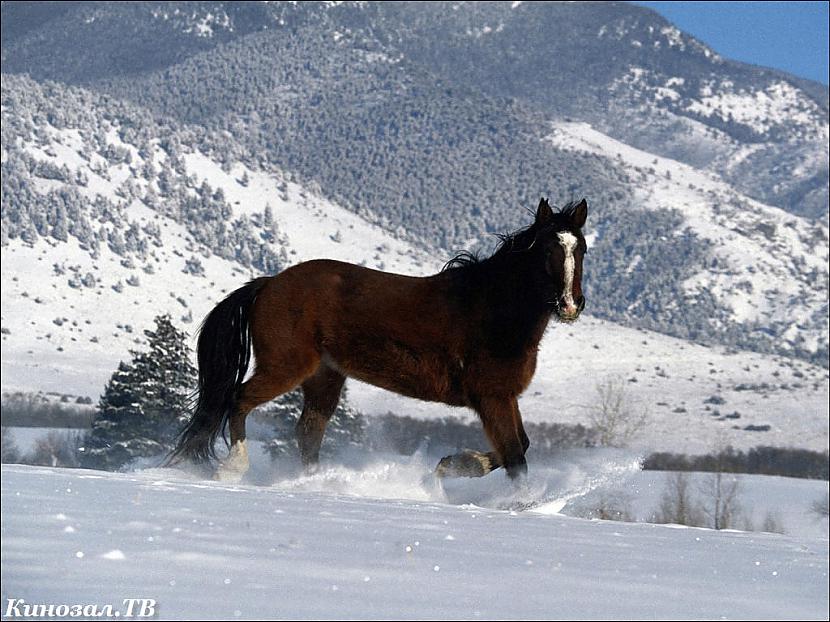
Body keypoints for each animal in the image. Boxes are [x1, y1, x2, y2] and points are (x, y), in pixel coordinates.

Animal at [169, 200, 588, 482]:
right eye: (548, 249)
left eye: (581, 248)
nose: (570, 305)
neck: (492, 308)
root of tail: (268, 284)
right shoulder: (492, 397)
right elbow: (517, 458)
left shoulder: (504, 397)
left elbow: (521, 447)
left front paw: (452, 465)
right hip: (286, 366)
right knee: (239, 400)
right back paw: (233, 468)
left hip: (324, 376)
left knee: (308, 431)